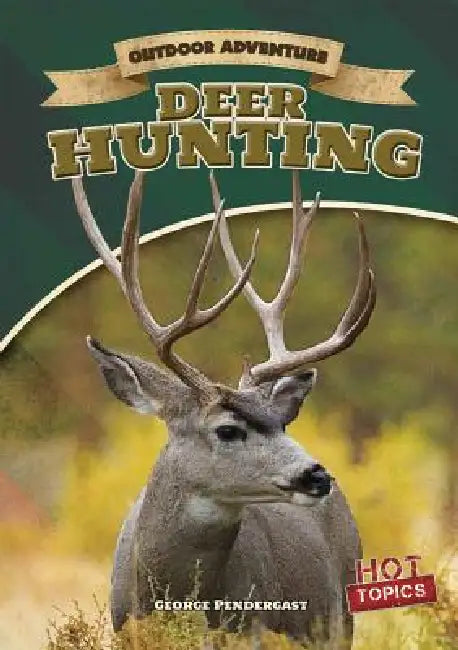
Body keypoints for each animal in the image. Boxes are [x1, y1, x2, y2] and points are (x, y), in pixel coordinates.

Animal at [71, 169, 376, 647]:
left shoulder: (253, 627)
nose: (317, 475)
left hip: (340, 618)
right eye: (228, 429)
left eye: (282, 426)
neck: (177, 598)